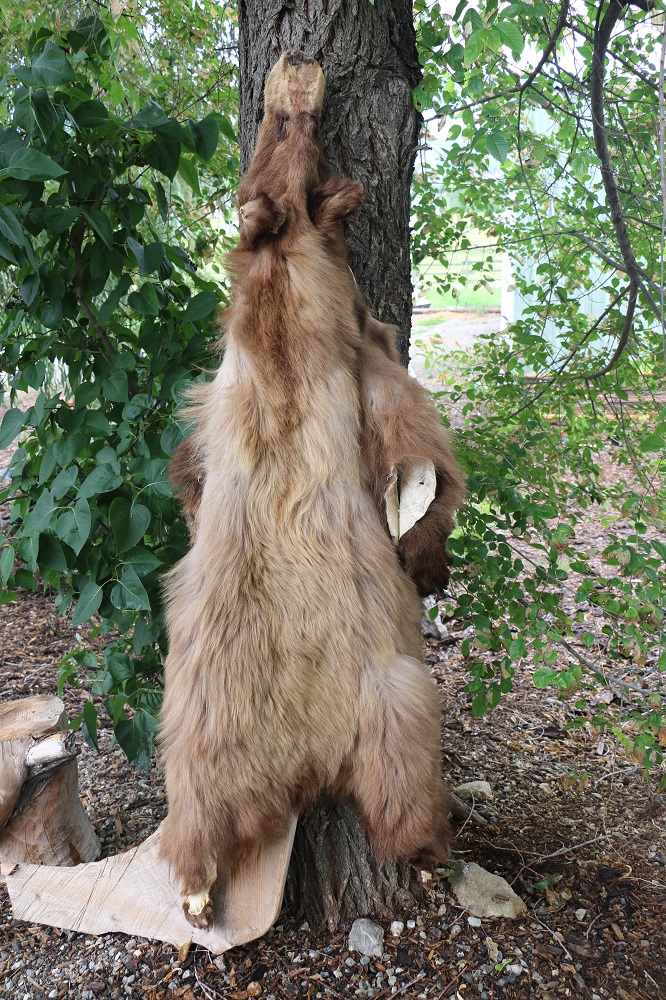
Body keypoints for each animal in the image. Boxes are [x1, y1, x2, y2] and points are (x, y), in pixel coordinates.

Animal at [159, 50, 456, 929]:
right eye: (283, 128)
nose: (296, 61)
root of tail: (306, 762)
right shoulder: (361, 351)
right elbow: (420, 447)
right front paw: (430, 558)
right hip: (372, 698)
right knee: (397, 792)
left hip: (254, 713)